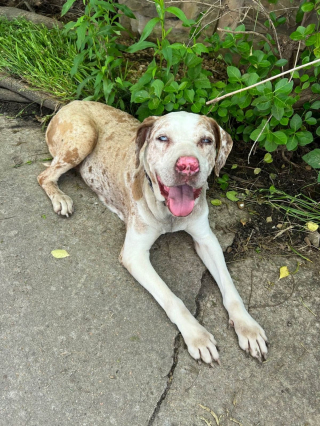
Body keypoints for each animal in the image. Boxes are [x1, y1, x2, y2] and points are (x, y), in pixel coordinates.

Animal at [37, 101, 268, 364]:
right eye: (163, 138)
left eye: (206, 140)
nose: (188, 166)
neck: (168, 212)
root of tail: (71, 102)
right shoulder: (134, 255)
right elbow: (172, 299)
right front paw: (196, 335)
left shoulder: (207, 240)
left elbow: (230, 289)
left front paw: (248, 327)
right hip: (84, 137)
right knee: (44, 175)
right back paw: (60, 198)